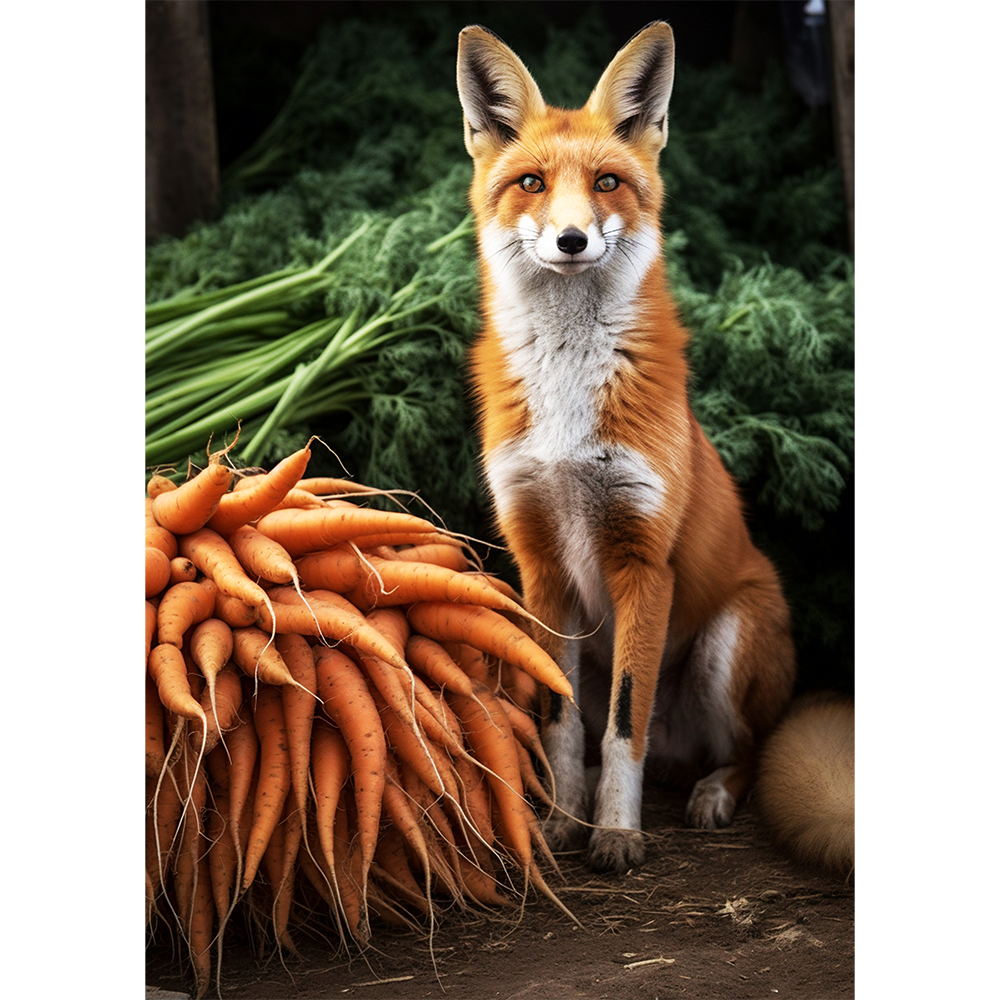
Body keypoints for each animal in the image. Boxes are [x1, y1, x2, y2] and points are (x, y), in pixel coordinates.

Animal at [458, 19, 816, 872]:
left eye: (608, 183)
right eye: (531, 183)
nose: (571, 238)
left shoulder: (642, 564)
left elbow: (626, 727)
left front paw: (617, 833)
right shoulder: (540, 566)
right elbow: (560, 720)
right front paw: (563, 821)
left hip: (724, 646)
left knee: (747, 750)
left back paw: (712, 792)